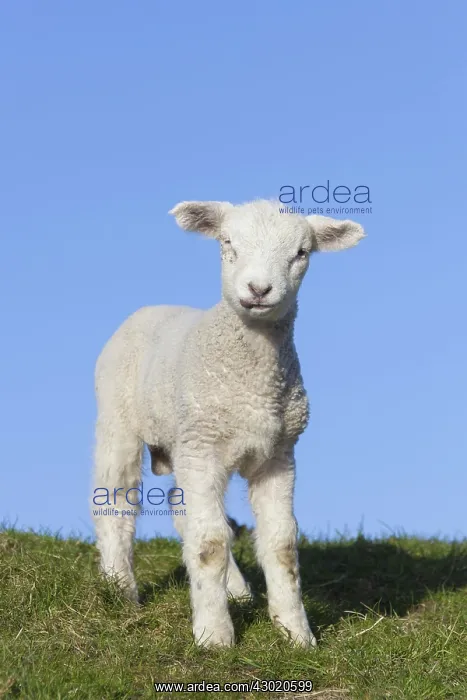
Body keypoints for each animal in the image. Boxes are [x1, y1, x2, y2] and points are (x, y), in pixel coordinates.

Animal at [92, 199, 366, 648]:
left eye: (301, 253)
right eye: (227, 243)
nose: (258, 290)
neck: (252, 383)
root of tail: (150, 309)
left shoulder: (279, 454)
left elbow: (281, 544)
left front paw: (296, 634)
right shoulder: (203, 448)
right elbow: (210, 542)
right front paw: (214, 636)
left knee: (179, 507)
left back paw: (235, 590)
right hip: (119, 420)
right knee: (116, 501)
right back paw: (121, 590)